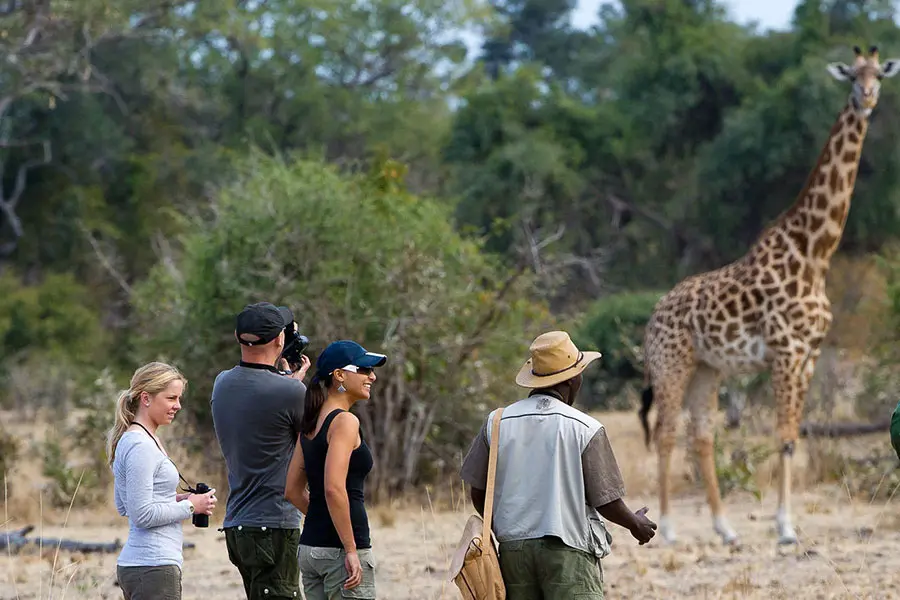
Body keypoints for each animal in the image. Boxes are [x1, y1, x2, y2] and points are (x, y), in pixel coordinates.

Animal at [640, 44, 900, 548]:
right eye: (851, 76)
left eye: (879, 74)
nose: (867, 97)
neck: (816, 252)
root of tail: (653, 315)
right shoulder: (785, 350)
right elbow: (783, 436)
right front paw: (785, 528)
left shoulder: (810, 354)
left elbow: (792, 436)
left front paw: (784, 524)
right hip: (671, 364)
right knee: (665, 433)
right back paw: (669, 529)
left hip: (706, 370)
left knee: (701, 436)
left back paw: (725, 529)